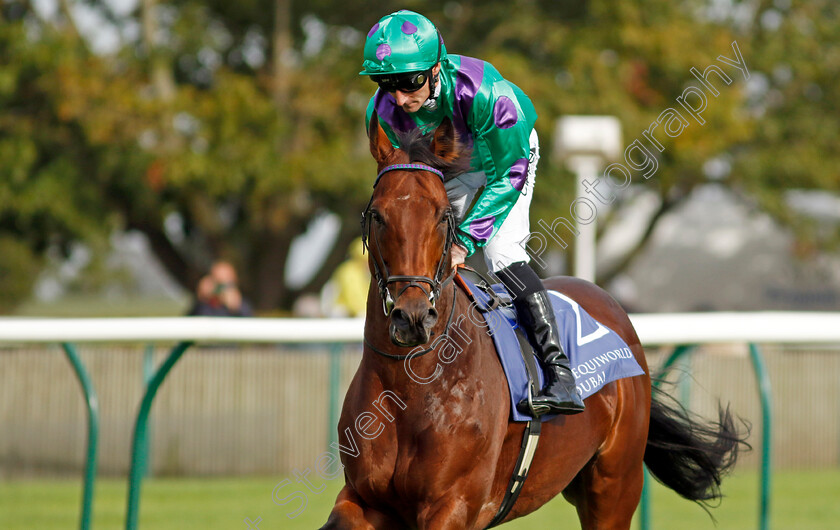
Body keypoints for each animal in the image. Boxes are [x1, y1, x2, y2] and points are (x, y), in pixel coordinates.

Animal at [322, 116, 740, 528]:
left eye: (443, 216)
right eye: (378, 215)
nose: (412, 317)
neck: (411, 387)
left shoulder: (452, 505)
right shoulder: (363, 498)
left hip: (614, 486)